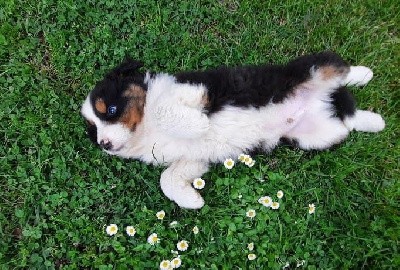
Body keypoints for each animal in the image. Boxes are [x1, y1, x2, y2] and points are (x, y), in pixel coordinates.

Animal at [80, 51, 384, 210]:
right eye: (93, 132)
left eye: (111, 110)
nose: (104, 145)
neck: (144, 130)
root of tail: (321, 101)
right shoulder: (191, 159)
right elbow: (168, 178)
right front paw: (193, 201)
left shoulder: (195, 92)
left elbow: (163, 109)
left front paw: (199, 125)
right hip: (315, 137)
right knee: (347, 122)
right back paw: (375, 121)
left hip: (308, 67)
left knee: (337, 67)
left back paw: (364, 74)